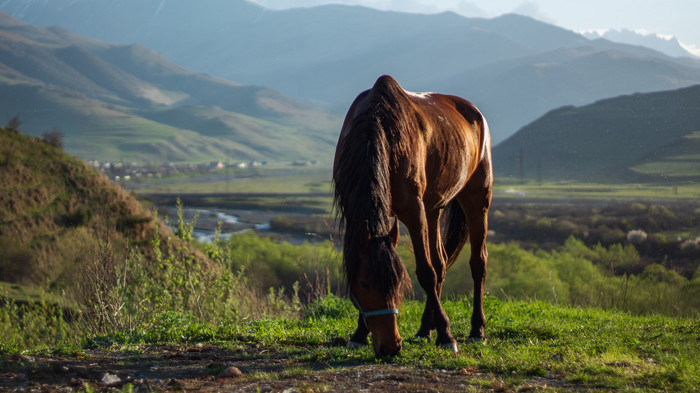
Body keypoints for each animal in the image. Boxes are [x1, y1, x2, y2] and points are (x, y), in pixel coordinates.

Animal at [332, 73, 492, 356]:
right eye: (364, 284)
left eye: (397, 283)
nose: (391, 346)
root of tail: (476, 114)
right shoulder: (355, 214)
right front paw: (359, 334)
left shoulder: (413, 211)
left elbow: (425, 272)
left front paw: (446, 335)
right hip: (434, 209)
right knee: (441, 263)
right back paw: (424, 330)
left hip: (476, 201)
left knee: (477, 263)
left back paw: (476, 330)